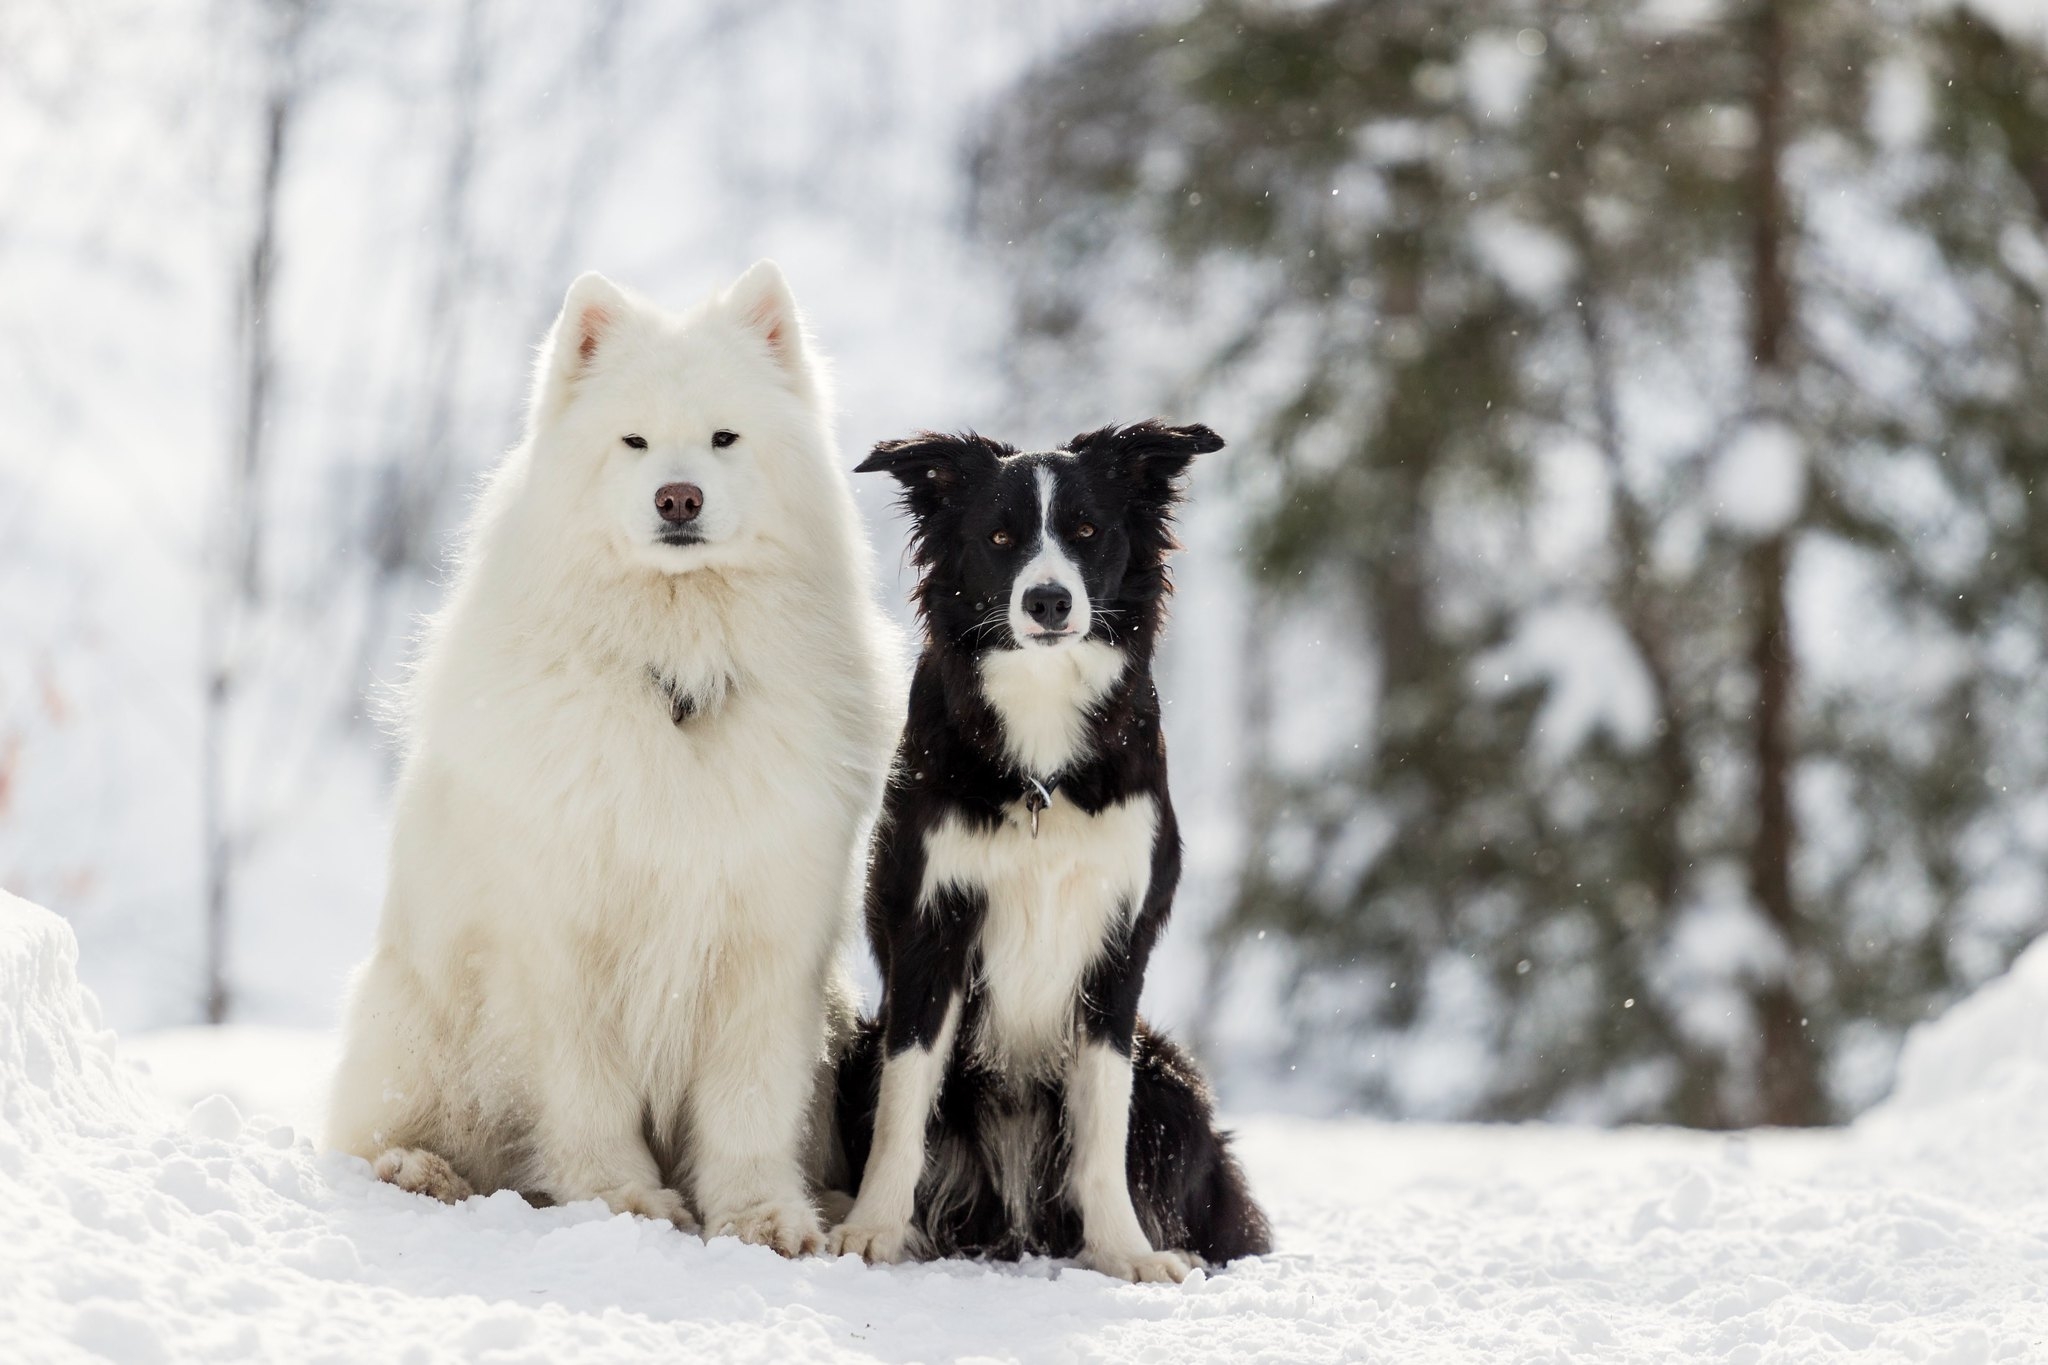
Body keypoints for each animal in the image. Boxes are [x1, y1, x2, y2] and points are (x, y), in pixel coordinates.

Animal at [325, 261, 897, 1252]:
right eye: (634, 442)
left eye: (724, 437)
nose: (679, 498)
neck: (675, 673)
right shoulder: (561, 940)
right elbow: (587, 1094)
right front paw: (621, 1198)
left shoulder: (770, 933)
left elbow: (751, 1100)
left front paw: (762, 1215)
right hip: (413, 1018)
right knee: (389, 1136)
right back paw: (423, 1170)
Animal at [823, 417, 1269, 1285]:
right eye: (1001, 537)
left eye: (1087, 531)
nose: (1050, 599)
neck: (1042, 761)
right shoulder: (934, 927)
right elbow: (904, 1104)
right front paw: (873, 1230)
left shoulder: (1119, 940)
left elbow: (1102, 1121)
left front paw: (1126, 1251)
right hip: (861, 1045)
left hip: (1170, 1075)